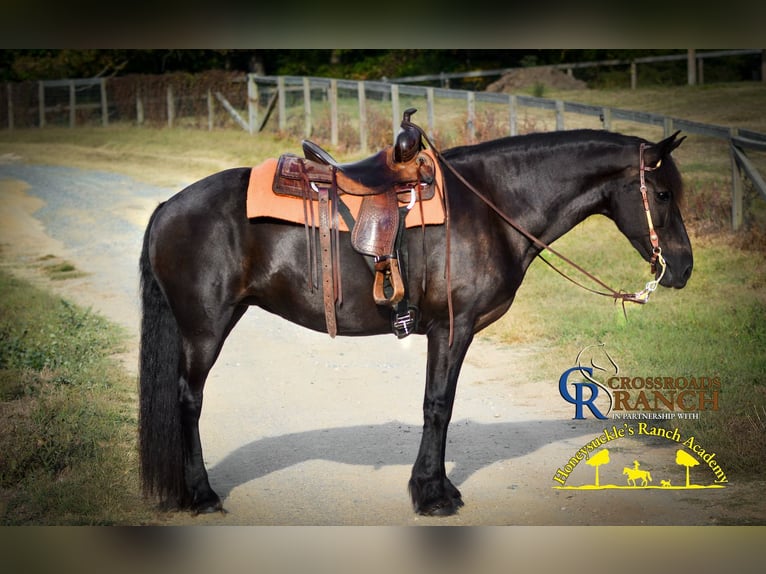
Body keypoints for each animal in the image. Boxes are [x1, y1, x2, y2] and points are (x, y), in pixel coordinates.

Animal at [138, 128, 692, 517]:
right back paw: (202, 494)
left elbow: (438, 405)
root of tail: (167, 207)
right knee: (189, 402)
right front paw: (432, 493)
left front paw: (436, 486)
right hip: (205, 329)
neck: (491, 204)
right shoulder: (453, 328)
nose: (683, 268)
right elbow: (438, 406)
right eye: (663, 194)